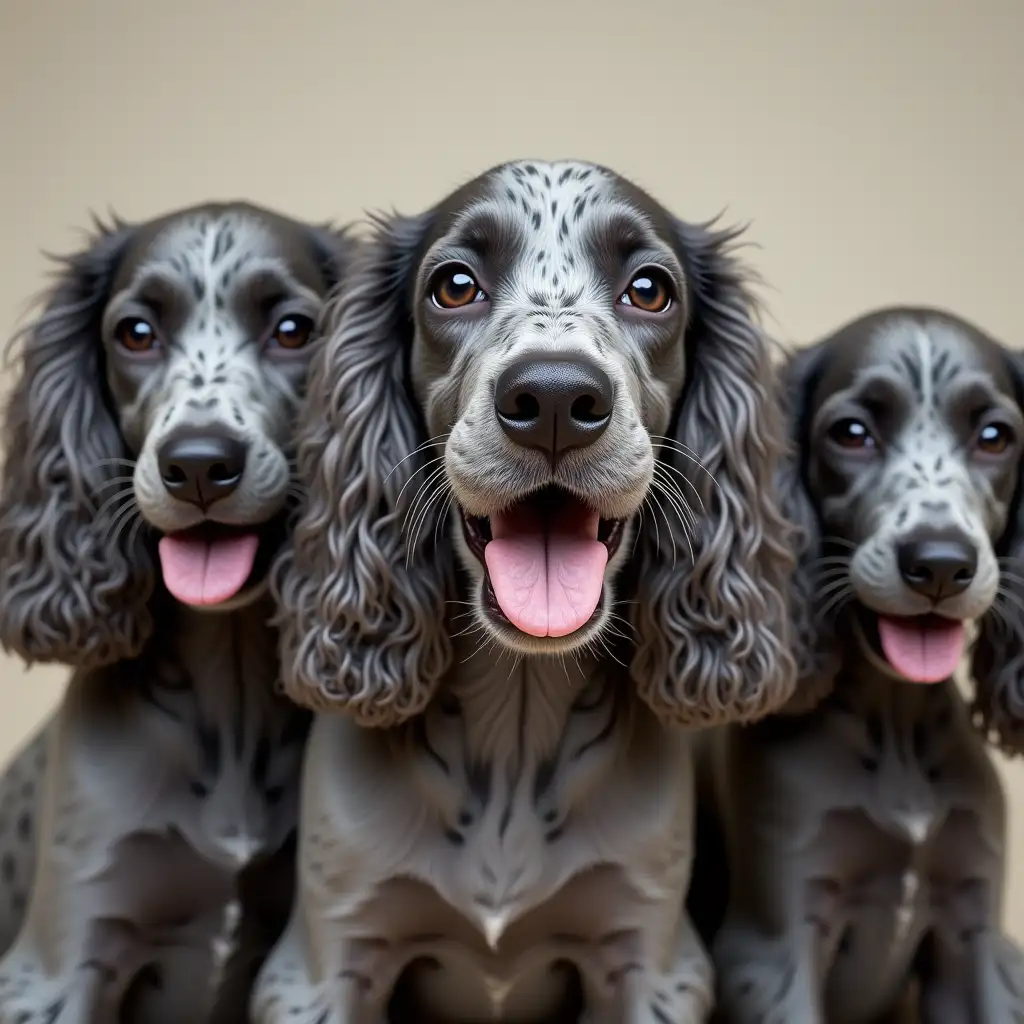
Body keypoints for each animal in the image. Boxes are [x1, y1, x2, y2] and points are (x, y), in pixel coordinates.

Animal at [247, 161, 798, 1024]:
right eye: (455, 285)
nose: (554, 399)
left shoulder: (651, 960)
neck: (516, 725)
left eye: (649, 289)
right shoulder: (323, 963)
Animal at [700, 305, 1024, 1024]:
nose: (939, 562)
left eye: (995, 436)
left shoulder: (977, 935)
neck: (895, 720)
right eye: (851, 433)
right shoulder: (775, 946)